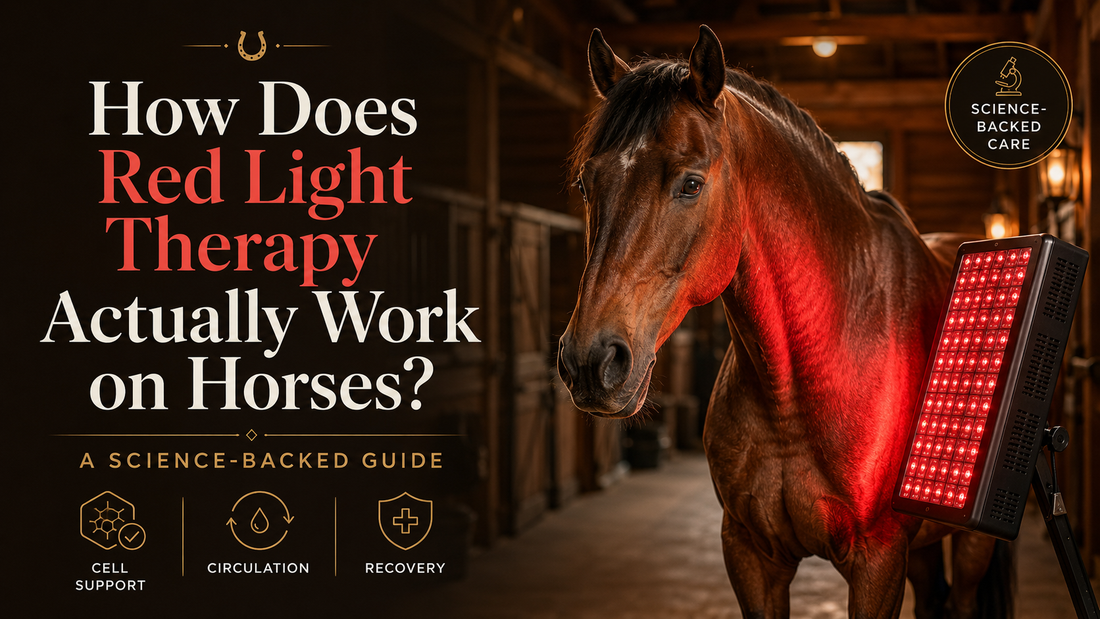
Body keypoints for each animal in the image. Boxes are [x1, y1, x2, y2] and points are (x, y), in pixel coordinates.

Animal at [557, 25, 1013, 619]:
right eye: (586, 184)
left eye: (690, 184)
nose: (591, 361)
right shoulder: (752, 556)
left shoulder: (878, 560)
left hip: (973, 542)